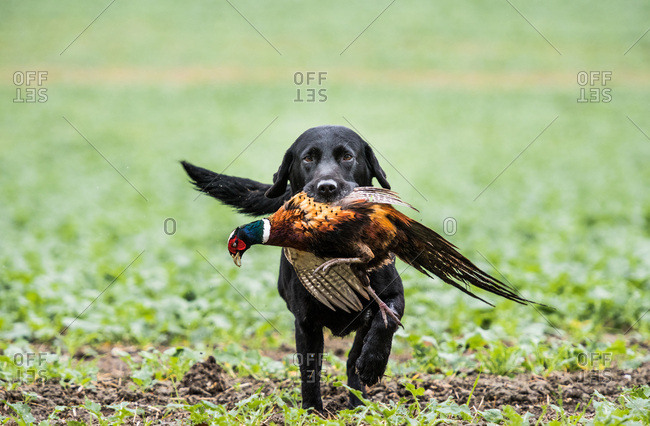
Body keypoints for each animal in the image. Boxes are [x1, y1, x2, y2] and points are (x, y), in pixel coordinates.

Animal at [182, 125, 402, 412]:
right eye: (307, 158)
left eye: (347, 157)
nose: (326, 187)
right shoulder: (306, 321)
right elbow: (310, 369)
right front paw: (313, 411)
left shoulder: (391, 295)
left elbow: (383, 324)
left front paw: (371, 366)